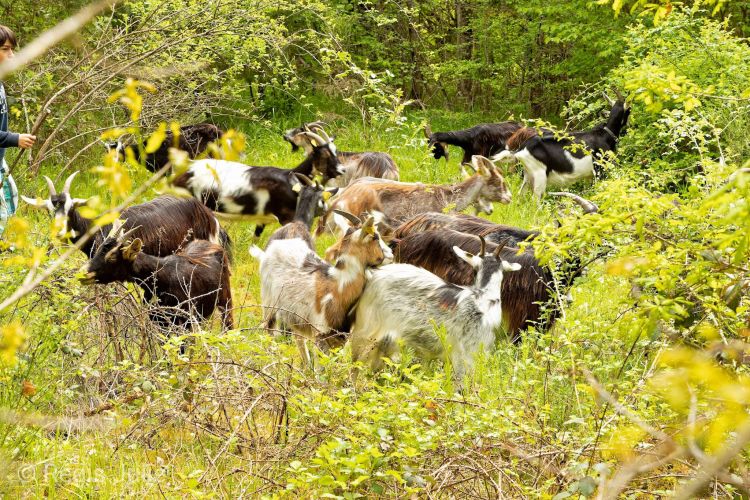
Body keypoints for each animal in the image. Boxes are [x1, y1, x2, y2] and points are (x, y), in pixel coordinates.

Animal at [81, 224, 234, 331]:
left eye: (112, 257)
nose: (83, 274)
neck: (162, 279)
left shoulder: (184, 321)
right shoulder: (158, 321)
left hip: (225, 300)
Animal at [249, 212, 392, 369]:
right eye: (375, 237)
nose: (391, 254)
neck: (337, 286)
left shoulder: (339, 336)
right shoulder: (320, 334)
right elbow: (321, 368)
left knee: (298, 337)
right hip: (269, 302)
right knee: (268, 330)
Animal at [493, 91, 631, 198]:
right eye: (629, 110)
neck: (605, 135)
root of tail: (520, 149)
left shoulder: (589, 176)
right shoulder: (599, 170)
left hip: (528, 176)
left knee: (520, 196)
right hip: (539, 176)